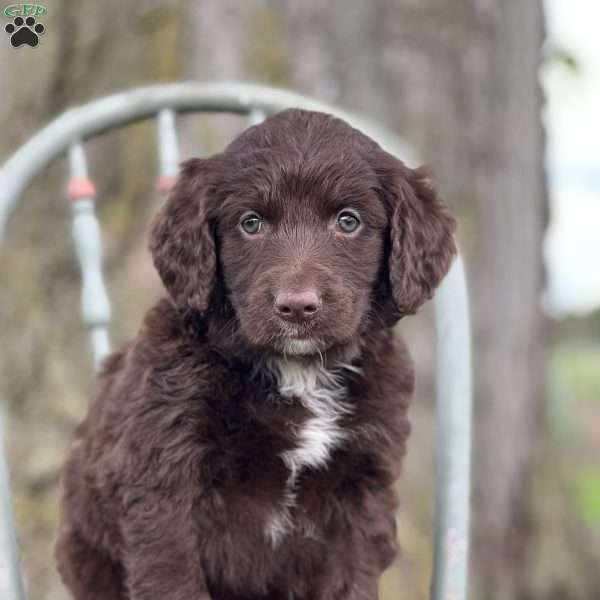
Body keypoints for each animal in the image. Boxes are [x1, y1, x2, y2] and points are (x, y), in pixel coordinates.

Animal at [55, 109, 454, 600]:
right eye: (251, 223)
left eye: (348, 221)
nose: (297, 307)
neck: (297, 370)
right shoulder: (163, 479)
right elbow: (173, 579)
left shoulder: (364, 485)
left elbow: (353, 580)